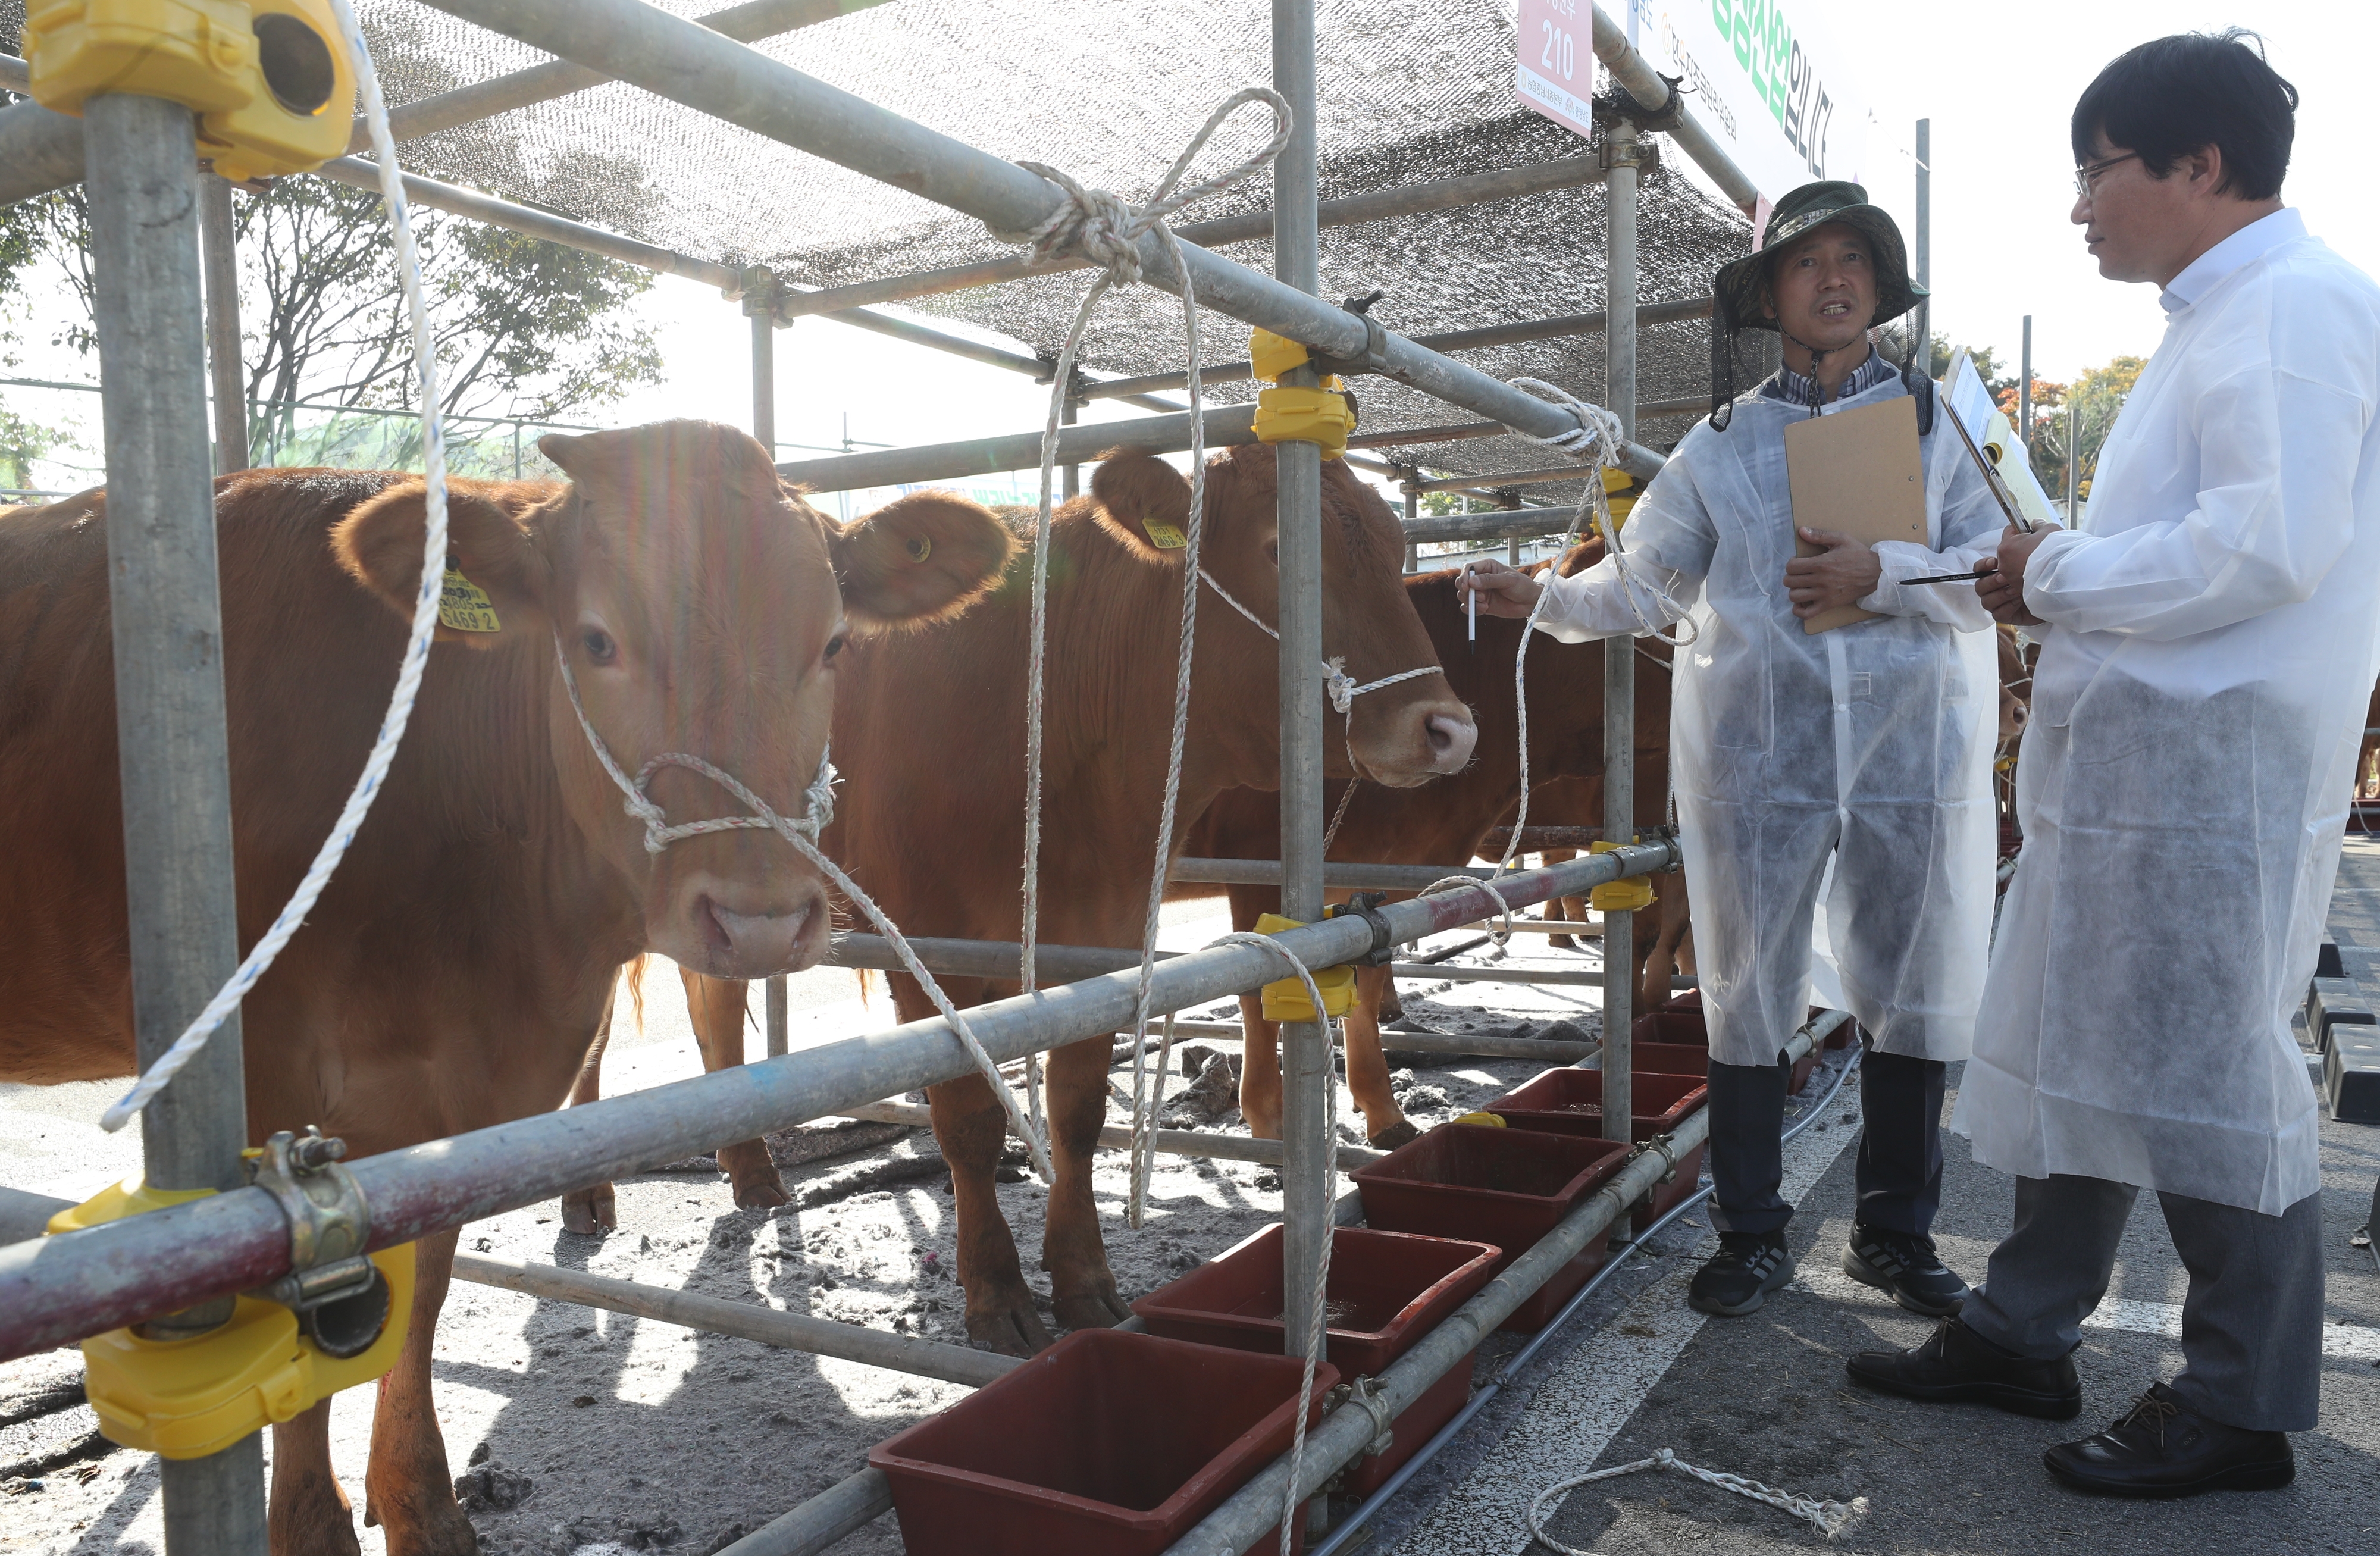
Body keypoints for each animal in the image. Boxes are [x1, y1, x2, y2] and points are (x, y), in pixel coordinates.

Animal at [0, 421, 1009, 1551]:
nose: (757, 918)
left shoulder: (464, 1108)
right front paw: (312, 1526)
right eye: (597, 640)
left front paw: (421, 1504)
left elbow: (426, 1291)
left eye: (833, 643)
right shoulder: (262, 1088)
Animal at [1185, 561, 1676, 1147]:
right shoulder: (1255, 867)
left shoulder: (1374, 881)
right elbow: (1259, 990)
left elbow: (1365, 984)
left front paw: (1382, 1110)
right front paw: (1271, 1121)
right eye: (1653, 621)